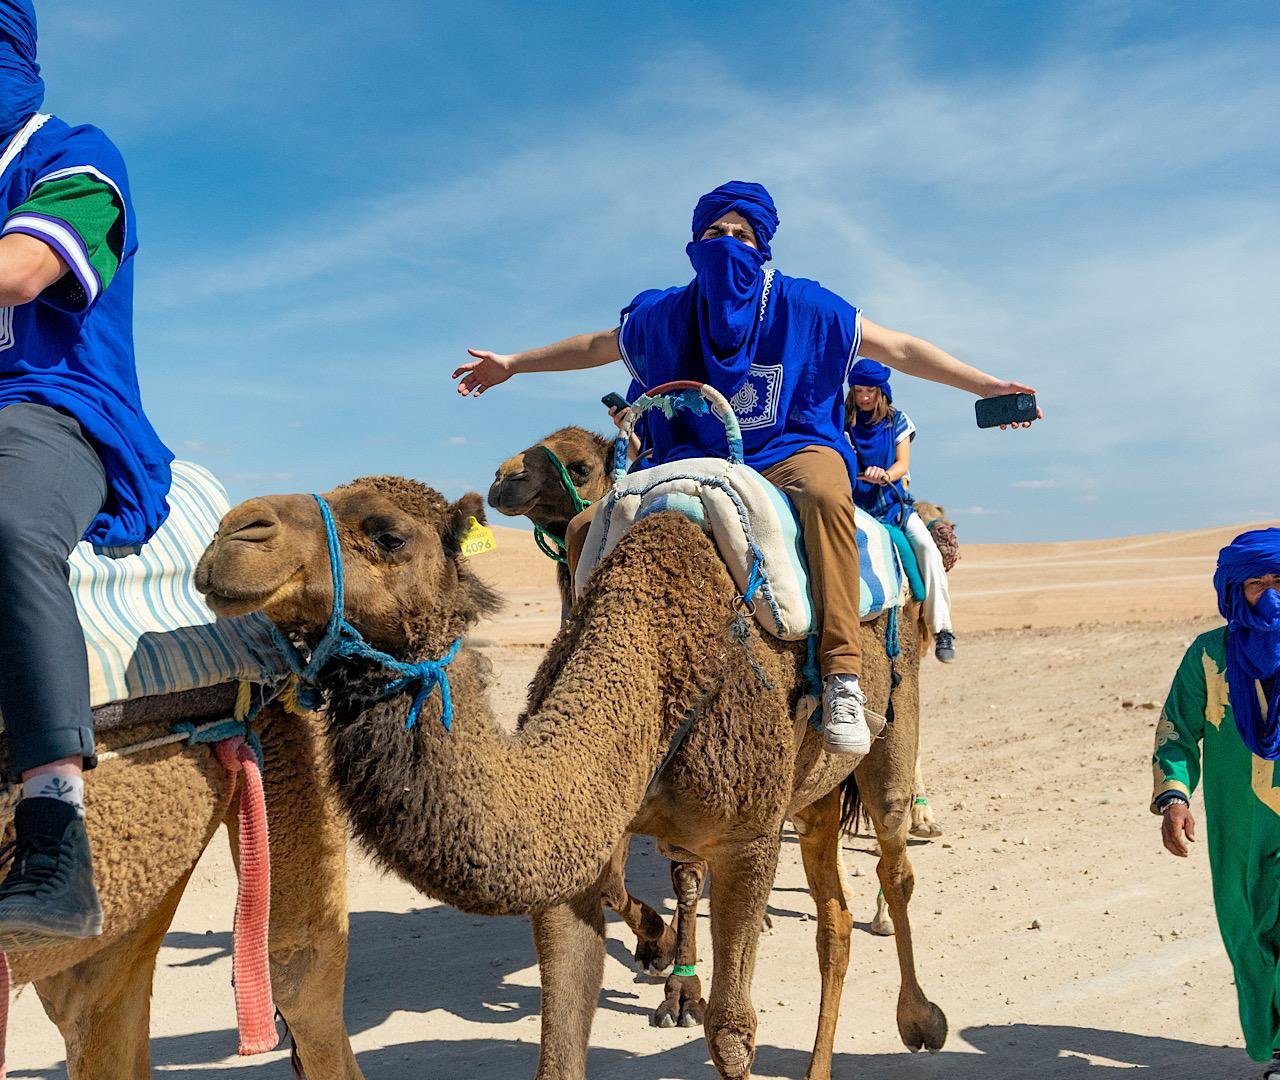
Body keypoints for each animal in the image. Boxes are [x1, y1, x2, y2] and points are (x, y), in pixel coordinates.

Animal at [196, 476, 947, 1079]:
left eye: (387, 533)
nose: (233, 533)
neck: (653, 671)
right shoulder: (584, 840)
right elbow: (560, 1045)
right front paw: (657, 948)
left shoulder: (749, 836)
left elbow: (733, 1034)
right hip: (813, 792)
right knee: (834, 920)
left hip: (891, 716)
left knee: (893, 856)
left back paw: (921, 1018)